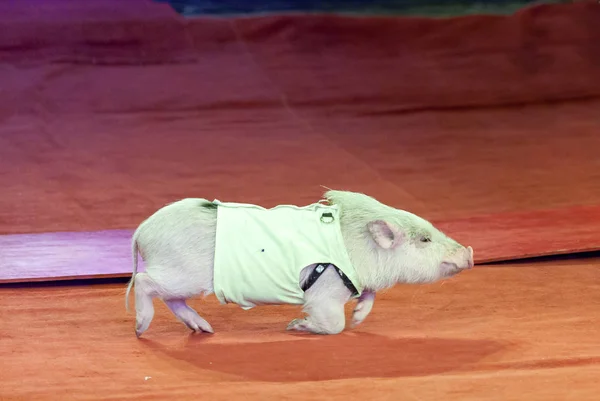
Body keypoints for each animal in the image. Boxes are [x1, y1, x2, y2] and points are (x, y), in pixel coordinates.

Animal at [125, 189, 474, 336]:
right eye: (424, 239)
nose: (470, 253)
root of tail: (142, 230)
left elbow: (369, 297)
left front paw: (359, 319)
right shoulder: (326, 291)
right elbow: (333, 323)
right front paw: (295, 326)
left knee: (172, 298)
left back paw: (204, 329)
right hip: (182, 273)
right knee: (145, 282)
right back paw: (140, 329)